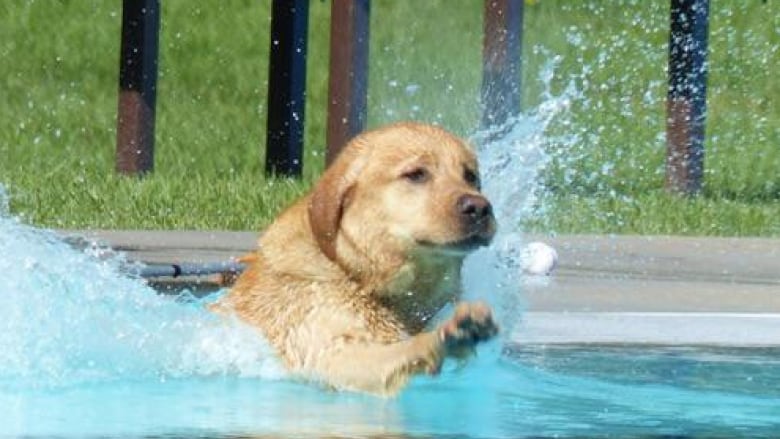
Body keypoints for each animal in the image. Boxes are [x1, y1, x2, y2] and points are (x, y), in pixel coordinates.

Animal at [210, 122, 496, 398]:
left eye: (470, 176)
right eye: (416, 174)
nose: (480, 207)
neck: (354, 273)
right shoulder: (323, 349)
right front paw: (443, 338)